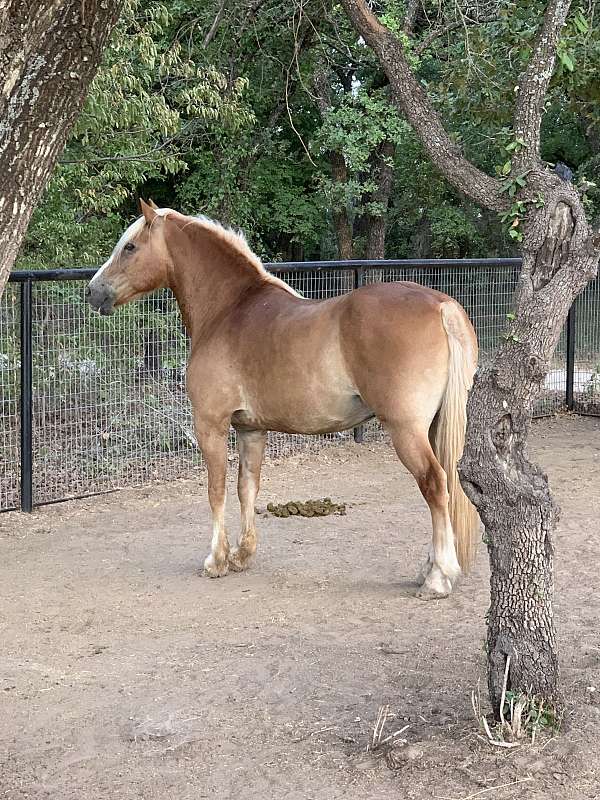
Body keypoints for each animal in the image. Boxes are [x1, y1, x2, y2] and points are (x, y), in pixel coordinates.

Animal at [85, 202, 478, 600]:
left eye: (130, 247)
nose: (92, 292)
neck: (228, 311)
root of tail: (441, 305)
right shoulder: (251, 430)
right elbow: (246, 488)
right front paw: (242, 555)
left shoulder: (211, 424)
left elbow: (216, 489)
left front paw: (216, 560)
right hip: (433, 426)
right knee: (446, 482)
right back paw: (428, 569)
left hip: (406, 429)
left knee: (434, 484)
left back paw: (437, 578)